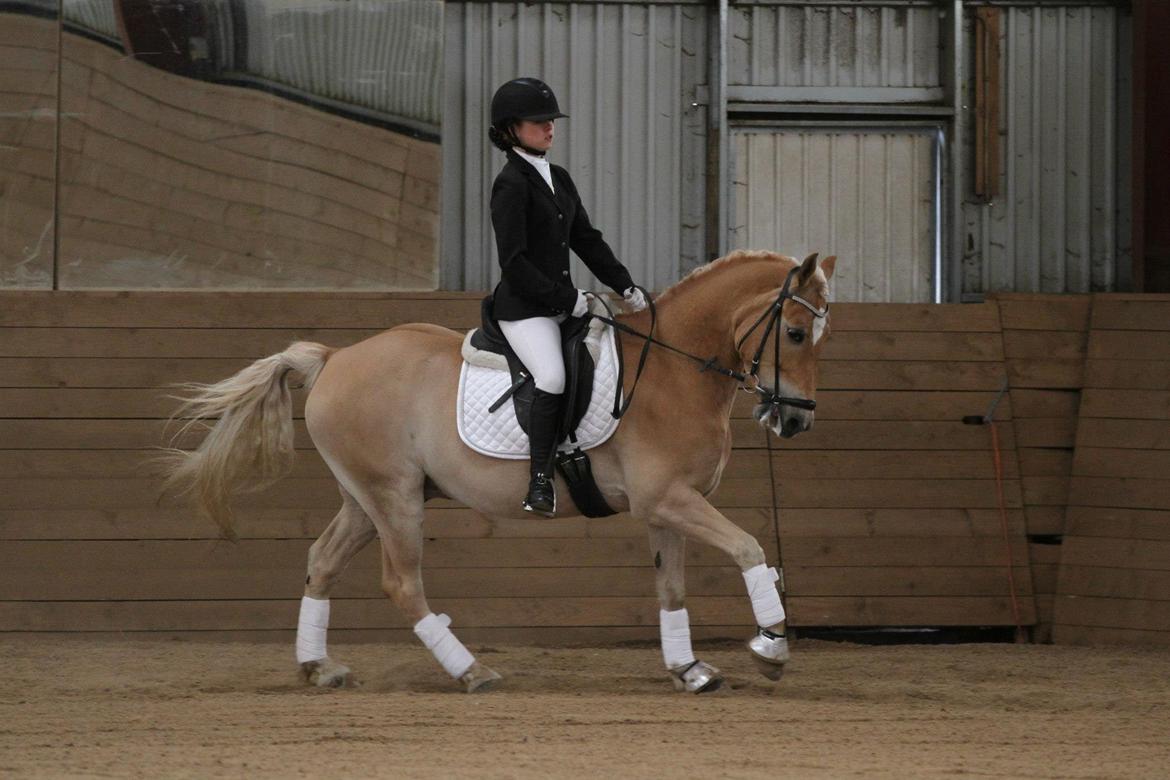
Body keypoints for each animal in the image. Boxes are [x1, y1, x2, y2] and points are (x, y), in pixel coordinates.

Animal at [160, 250, 837, 696]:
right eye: (795, 332)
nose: (797, 420)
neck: (673, 369)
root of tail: (334, 358)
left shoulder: (666, 507)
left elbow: (670, 589)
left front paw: (688, 669)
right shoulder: (670, 500)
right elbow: (750, 549)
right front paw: (771, 647)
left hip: (365, 498)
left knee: (322, 562)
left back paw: (318, 667)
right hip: (394, 498)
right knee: (401, 583)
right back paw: (471, 671)